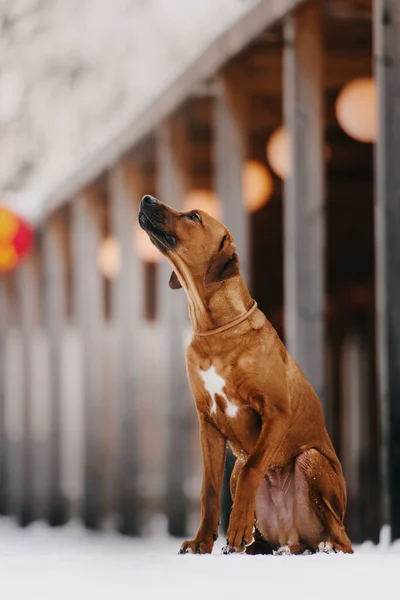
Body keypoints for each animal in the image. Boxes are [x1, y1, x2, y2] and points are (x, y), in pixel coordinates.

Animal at [138, 195, 354, 556]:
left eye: (193, 216)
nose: (146, 199)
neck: (215, 330)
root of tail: (293, 536)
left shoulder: (276, 412)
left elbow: (255, 466)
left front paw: (237, 527)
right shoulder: (207, 423)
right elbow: (209, 490)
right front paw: (202, 541)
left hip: (311, 462)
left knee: (341, 536)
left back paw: (326, 546)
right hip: (236, 472)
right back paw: (262, 548)